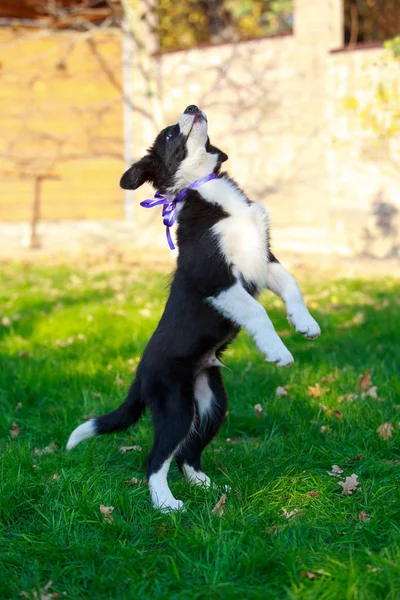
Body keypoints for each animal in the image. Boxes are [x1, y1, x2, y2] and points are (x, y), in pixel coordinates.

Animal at [67, 103, 320, 510]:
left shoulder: (263, 259)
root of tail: (140, 374)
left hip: (212, 403)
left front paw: (305, 324)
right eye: (171, 133)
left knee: (187, 452)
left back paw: (205, 487)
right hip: (175, 403)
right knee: (155, 458)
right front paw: (277, 350)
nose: (191, 106)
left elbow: (291, 284)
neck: (203, 185)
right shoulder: (215, 277)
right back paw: (166, 505)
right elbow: (256, 310)